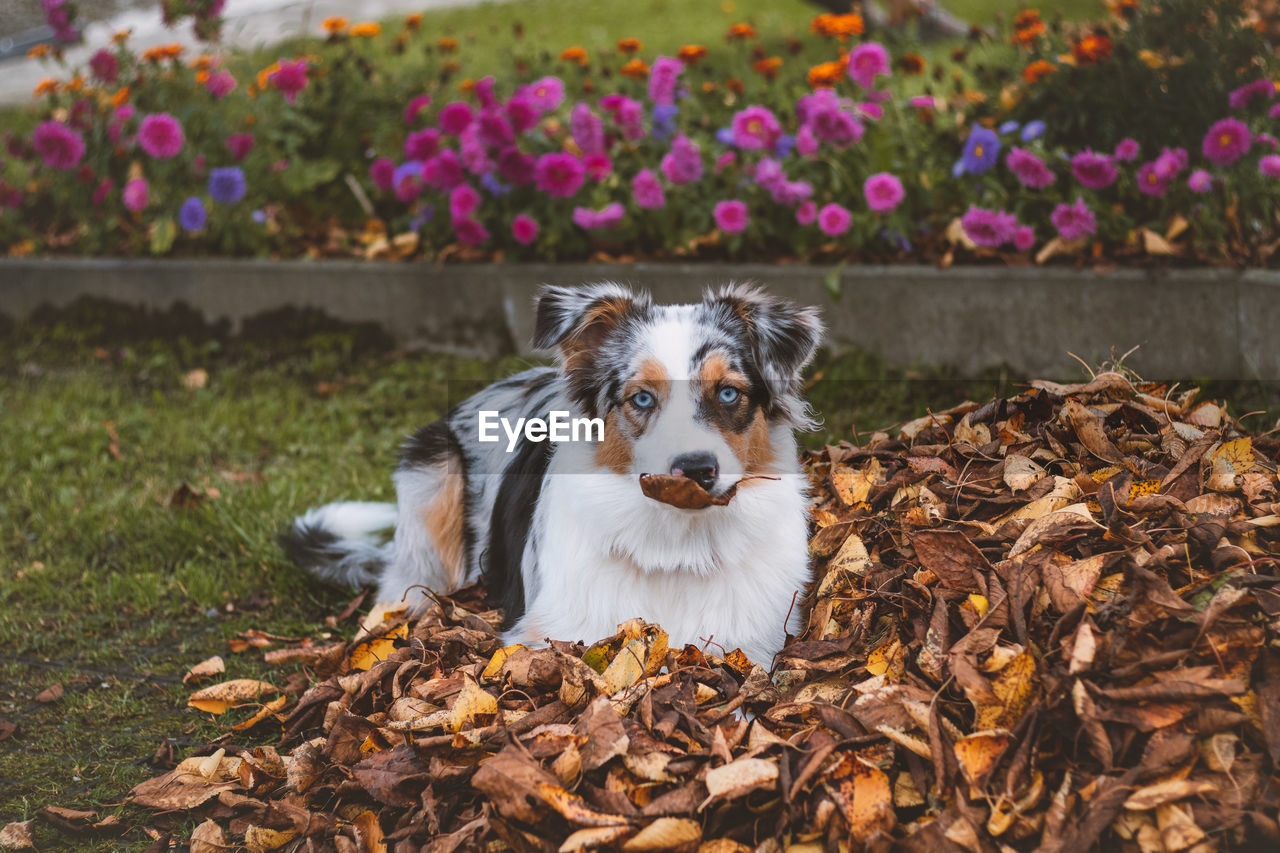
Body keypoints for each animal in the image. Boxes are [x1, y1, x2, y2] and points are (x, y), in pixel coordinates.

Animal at [281, 281, 824, 660]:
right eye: (641, 398)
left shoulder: (758, 642)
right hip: (430, 479)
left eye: (728, 392)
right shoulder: (548, 634)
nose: (696, 469)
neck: (676, 541)